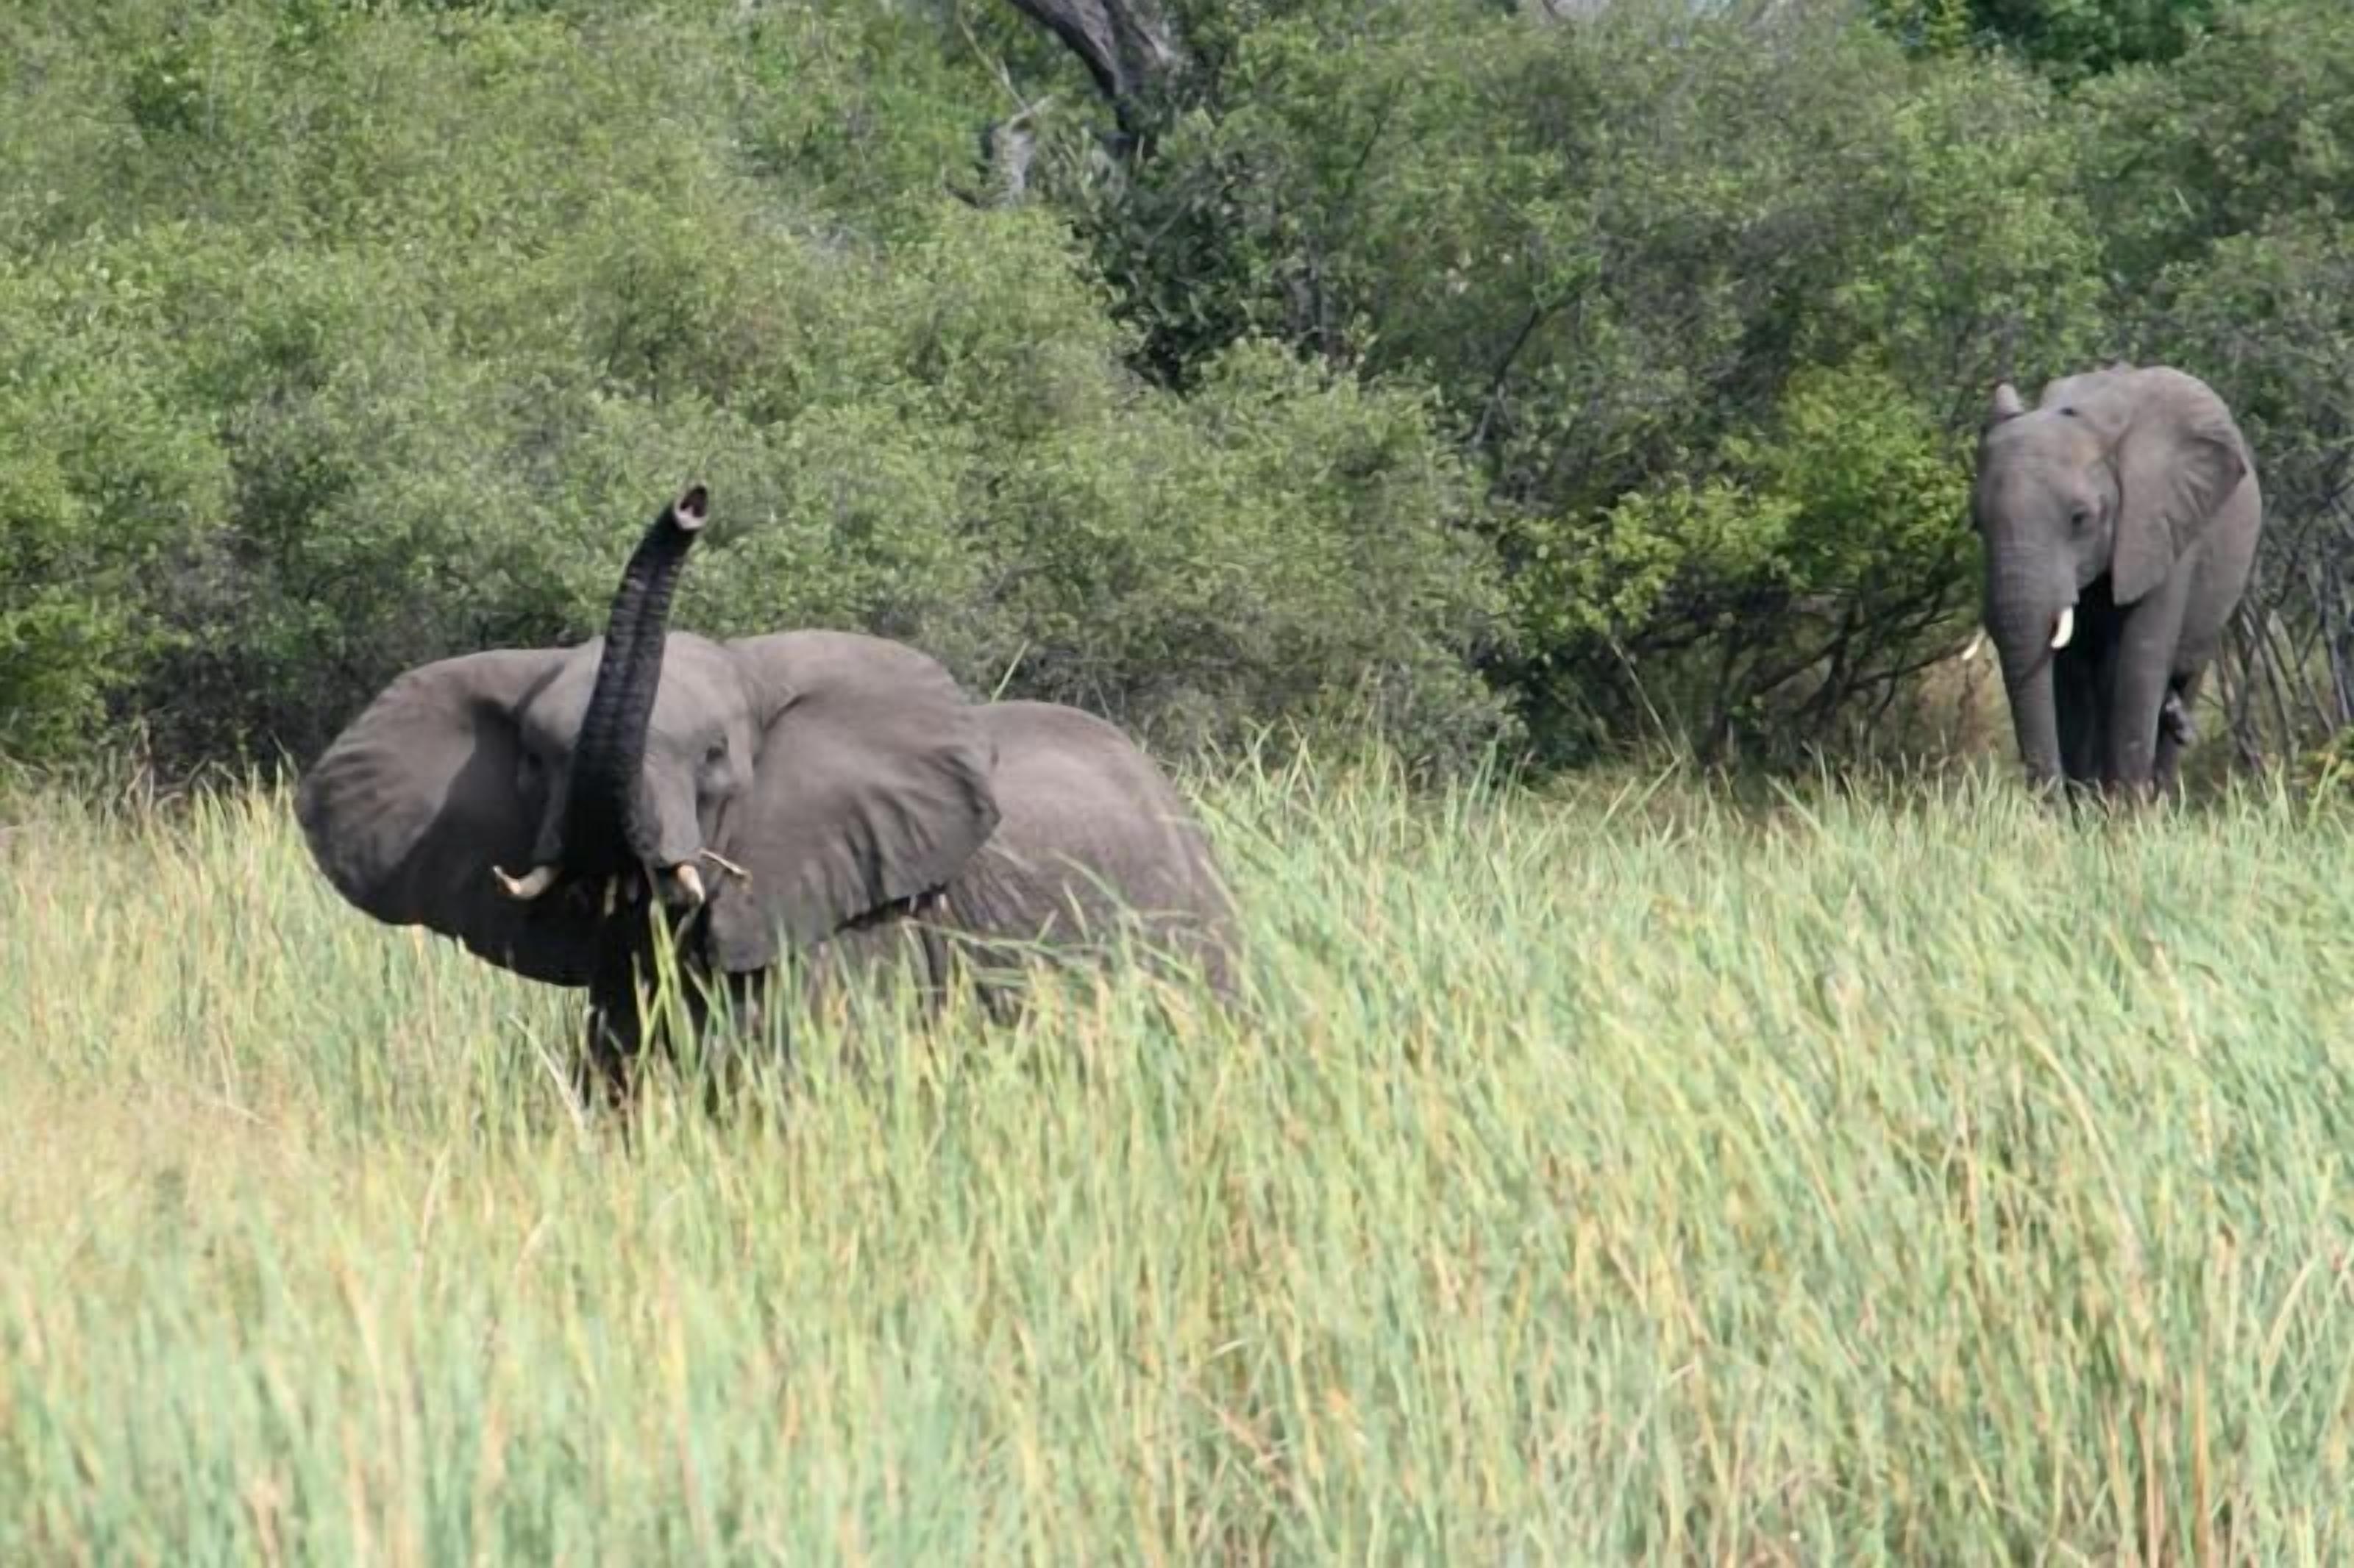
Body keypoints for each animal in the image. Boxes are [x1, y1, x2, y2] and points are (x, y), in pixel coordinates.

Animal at [1971, 362, 2262, 799]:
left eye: (2080, 519)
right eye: (1977, 526)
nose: (2044, 805)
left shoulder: (2159, 526)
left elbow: (2137, 667)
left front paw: (2125, 813)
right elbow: (2072, 679)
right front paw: (2085, 810)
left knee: (2183, 676)